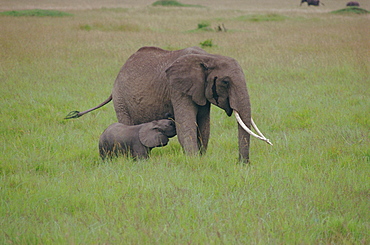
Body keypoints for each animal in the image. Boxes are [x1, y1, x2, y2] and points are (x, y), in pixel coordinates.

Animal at [65, 47, 270, 164]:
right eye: (226, 82)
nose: (242, 164)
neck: (209, 57)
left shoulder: (200, 90)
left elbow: (204, 127)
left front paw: (201, 159)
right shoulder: (176, 88)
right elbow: (186, 126)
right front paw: (194, 163)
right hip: (121, 98)